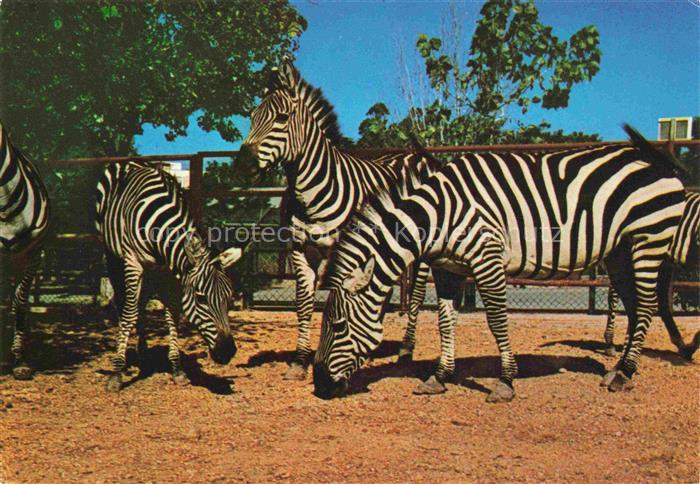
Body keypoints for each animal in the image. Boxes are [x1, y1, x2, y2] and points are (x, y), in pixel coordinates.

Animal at [95, 162, 242, 392]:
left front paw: (176, 369)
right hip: (113, 256)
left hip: (151, 272)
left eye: (229, 299)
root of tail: (131, 162)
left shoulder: (169, 270)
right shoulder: (133, 262)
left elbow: (172, 313)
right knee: (123, 303)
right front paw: (116, 374)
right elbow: (129, 314)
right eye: (201, 298)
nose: (227, 352)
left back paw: (143, 352)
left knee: (141, 303)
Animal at [242, 60, 434, 380]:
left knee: (417, 293)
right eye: (252, 118)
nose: (242, 163)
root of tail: (417, 156)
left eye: (281, 118)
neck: (312, 191)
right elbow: (304, 303)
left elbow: (336, 299)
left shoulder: (343, 250)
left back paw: (406, 351)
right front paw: (300, 361)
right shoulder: (301, 249)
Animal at [313, 126, 685, 402]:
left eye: (339, 326)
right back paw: (620, 368)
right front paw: (439, 376)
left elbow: (496, 321)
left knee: (647, 307)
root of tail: (658, 159)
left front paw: (506, 381)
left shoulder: (487, 258)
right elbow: (445, 323)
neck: (438, 215)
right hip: (619, 252)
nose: (320, 385)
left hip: (648, 240)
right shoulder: (447, 269)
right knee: (636, 308)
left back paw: (625, 374)